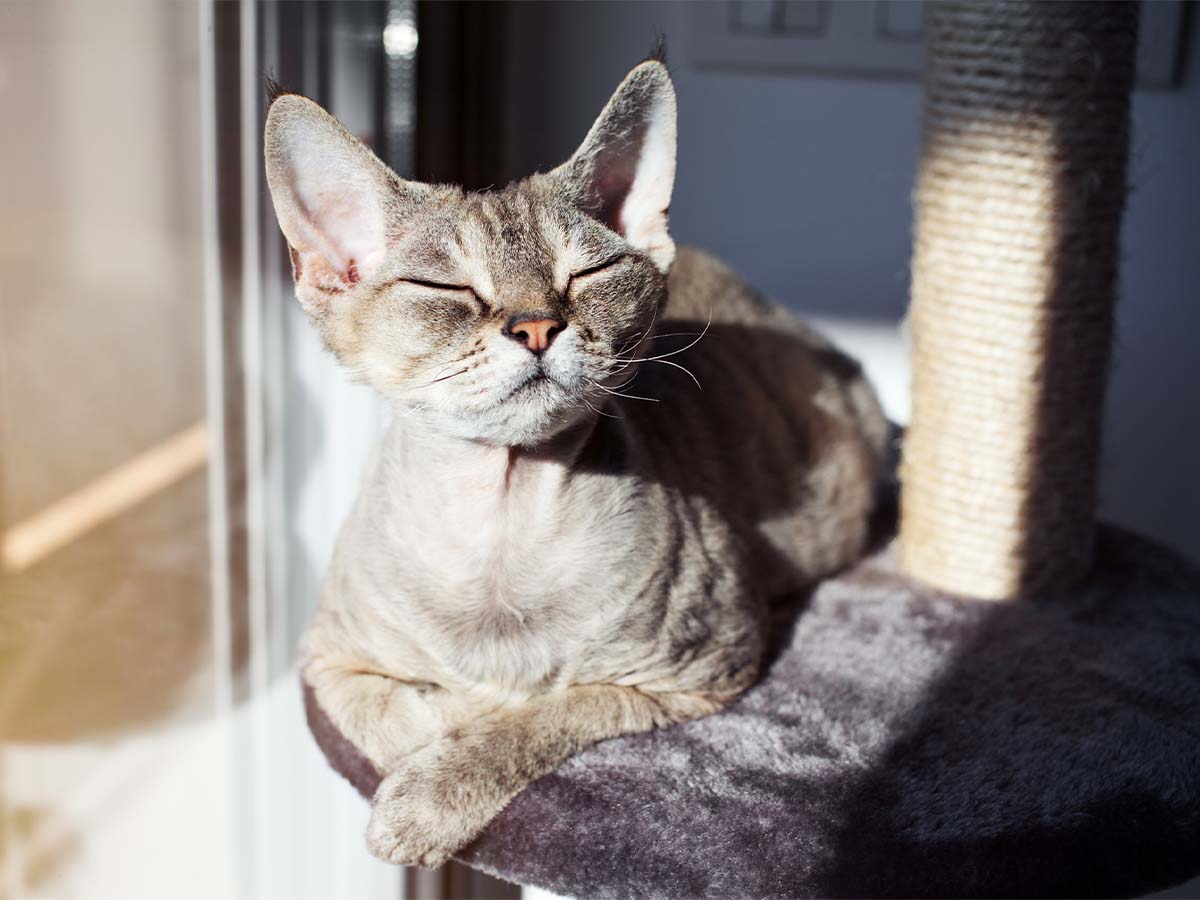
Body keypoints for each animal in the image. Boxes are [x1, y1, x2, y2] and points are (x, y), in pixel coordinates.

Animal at [265, 52, 892, 868]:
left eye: (586, 274)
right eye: (444, 287)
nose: (536, 326)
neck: (500, 524)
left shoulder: (697, 675)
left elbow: (536, 718)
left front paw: (431, 795)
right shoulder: (325, 658)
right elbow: (393, 714)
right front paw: (438, 734)